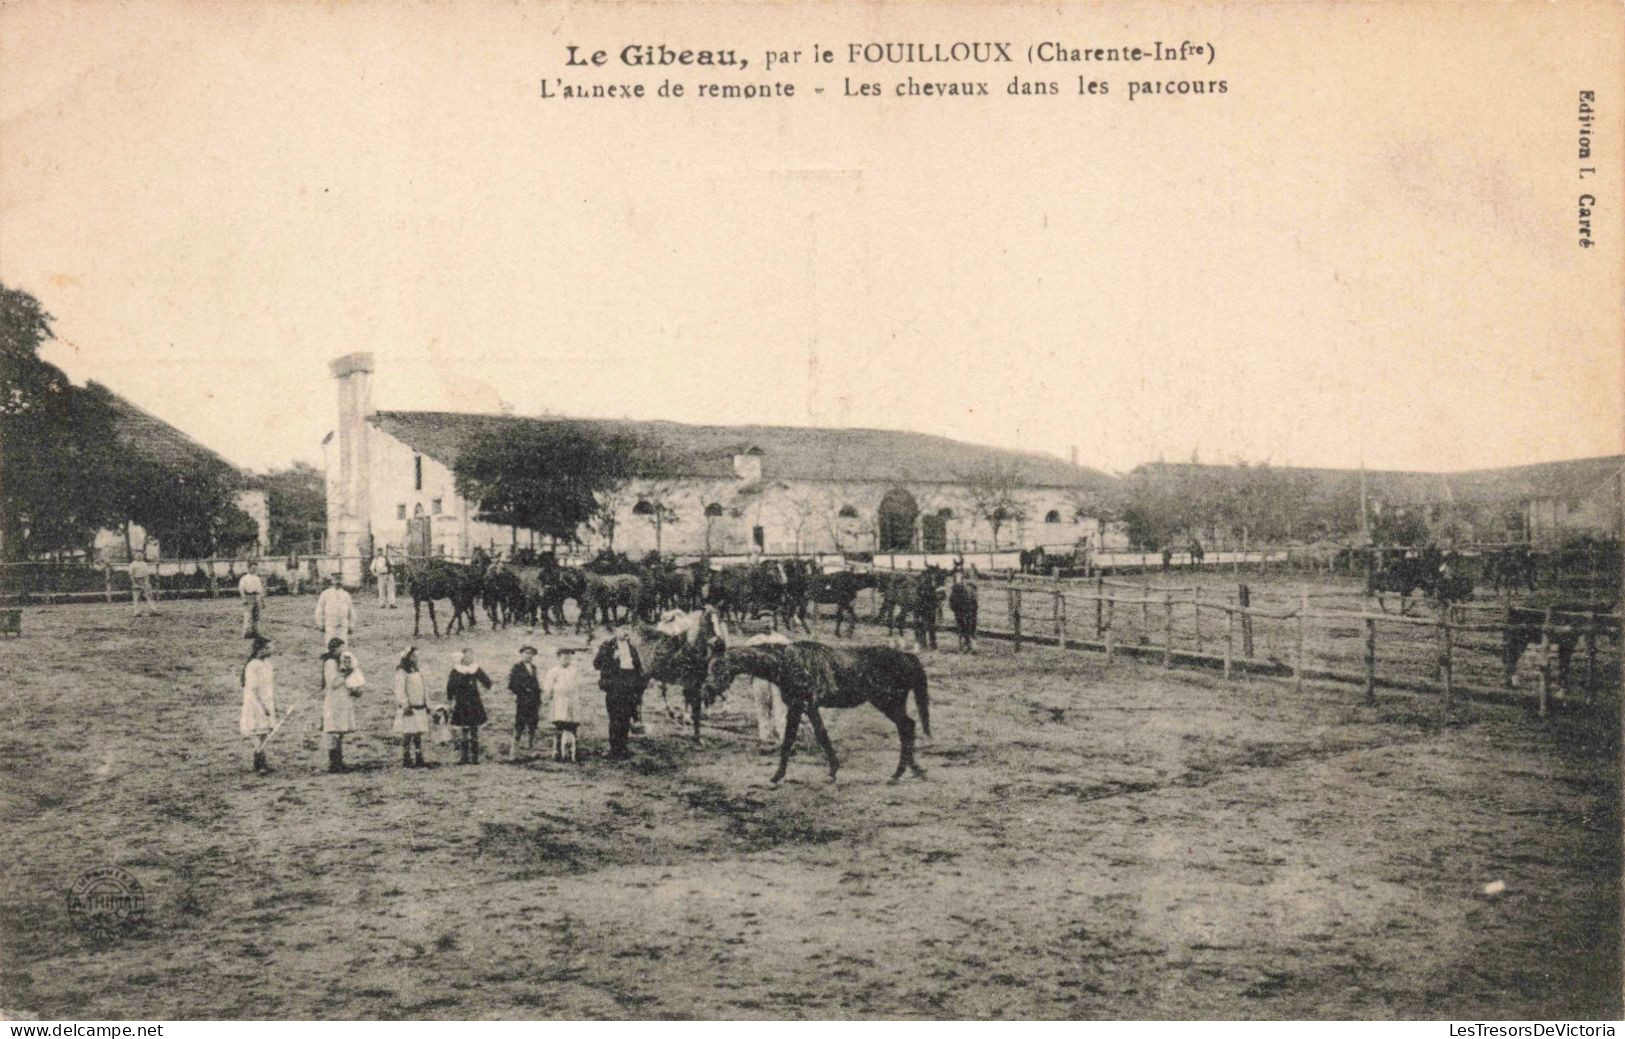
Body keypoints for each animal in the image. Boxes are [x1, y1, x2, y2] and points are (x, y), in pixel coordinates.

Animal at [705, 637, 936, 783]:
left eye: (717, 666)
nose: (706, 692)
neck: (787, 662)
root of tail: (907, 657)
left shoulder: (805, 705)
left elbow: (815, 736)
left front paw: (831, 771)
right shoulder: (799, 707)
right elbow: (795, 739)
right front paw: (779, 775)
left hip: (887, 702)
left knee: (907, 727)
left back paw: (902, 771)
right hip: (893, 703)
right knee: (907, 728)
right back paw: (911, 770)